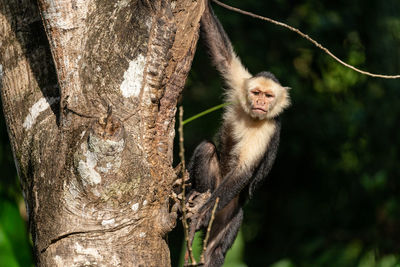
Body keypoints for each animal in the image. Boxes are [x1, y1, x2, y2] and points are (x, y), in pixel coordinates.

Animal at [188, 1, 290, 266]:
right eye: (256, 93)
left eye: (269, 96)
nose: (261, 103)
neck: (254, 116)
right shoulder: (240, 83)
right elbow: (221, 53)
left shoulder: (268, 129)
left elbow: (244, 170)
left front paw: (202, 214)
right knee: (207, 148)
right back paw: (194, 195)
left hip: (232, 210)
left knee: (215, 251)